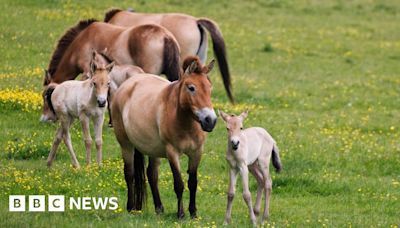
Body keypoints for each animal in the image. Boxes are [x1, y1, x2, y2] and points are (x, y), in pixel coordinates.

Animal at [111, 55, 217, 219]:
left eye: (209, 88)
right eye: (191, 88)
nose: (210, 121)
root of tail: (127, 85)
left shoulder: (197, 152)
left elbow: (192, 182)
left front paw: (193, 213)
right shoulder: (172, 153)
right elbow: (179, 184)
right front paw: (181, 214)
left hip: (152, 149)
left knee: (152, 175)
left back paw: (159, 209)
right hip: (126, 144)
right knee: (129, 173)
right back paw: (131, 208)